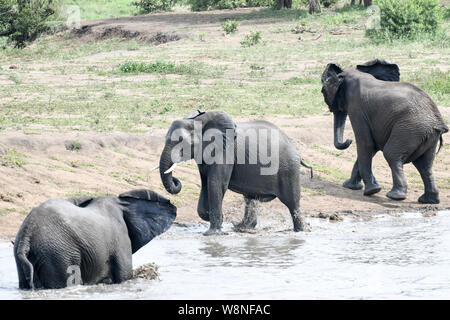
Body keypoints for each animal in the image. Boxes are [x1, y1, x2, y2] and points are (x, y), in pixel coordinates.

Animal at [156, 110, 312, 235]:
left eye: (182, 142)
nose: (176, 180)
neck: (199, 121)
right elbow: (205, 184)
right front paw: (212, 218)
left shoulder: (225, 152)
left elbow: (215, 183)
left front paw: (212, 233)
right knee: (250, 198)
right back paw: (243, 227)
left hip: (289, 169)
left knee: (292, 203)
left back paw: (301, 231)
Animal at [322, 58, 448, 204]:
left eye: (323, 91)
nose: (348, 140)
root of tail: (437, 122)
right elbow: (372, 146)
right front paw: (351, 186)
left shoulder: (357, 109)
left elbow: (366, 144)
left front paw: (371, 191)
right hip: (425, 134)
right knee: (424, 165)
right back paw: (428, 200)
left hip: (409, 129)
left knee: (391, 154)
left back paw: (395, 196)